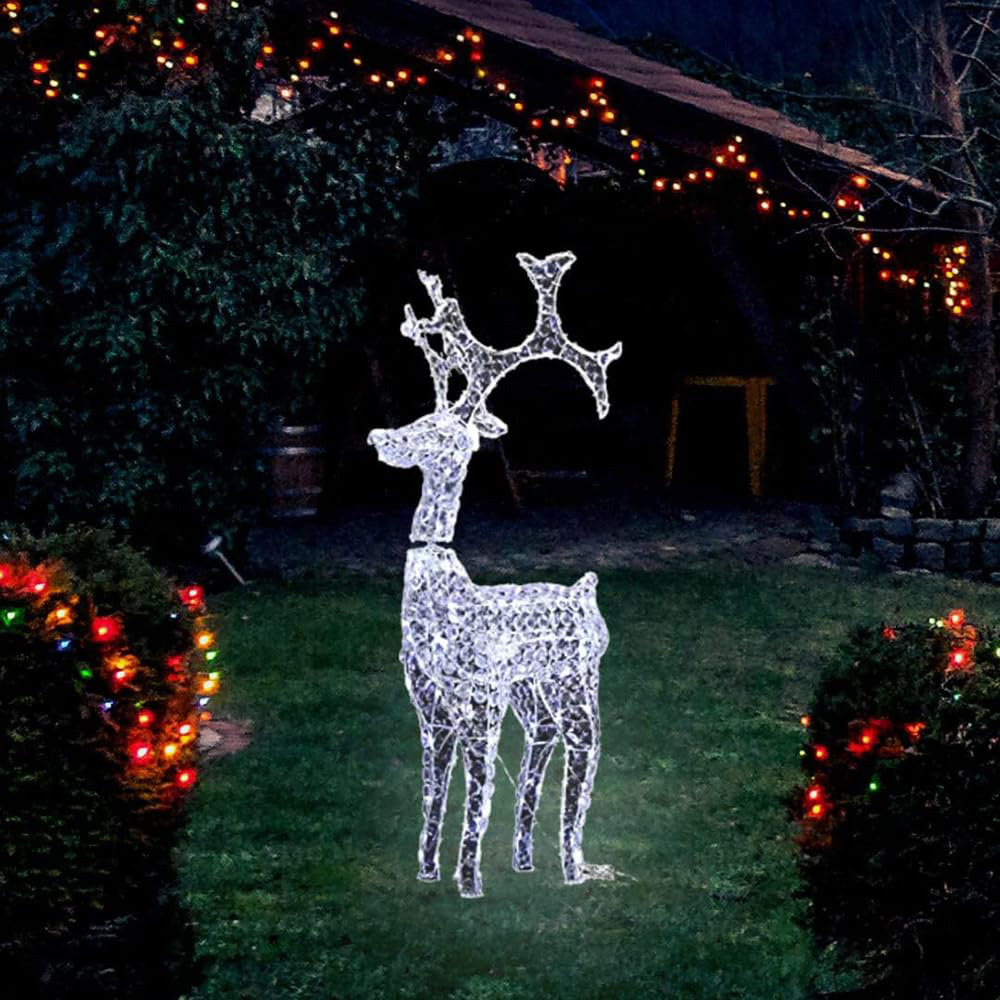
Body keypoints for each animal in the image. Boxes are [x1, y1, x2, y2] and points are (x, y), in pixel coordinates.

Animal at [368, 251, 622, 898]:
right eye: (418, 415)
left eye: (437, 432)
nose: (378, 437)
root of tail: (587, 594)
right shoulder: (430, 702)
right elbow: (434, 784)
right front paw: (428, 869)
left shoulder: (478, 698)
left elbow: (475, 792)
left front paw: (469, 882)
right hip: (532, 692)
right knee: (544, 743)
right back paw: (528, 858)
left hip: (573, 679)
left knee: (587, 747)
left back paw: (573, 866)